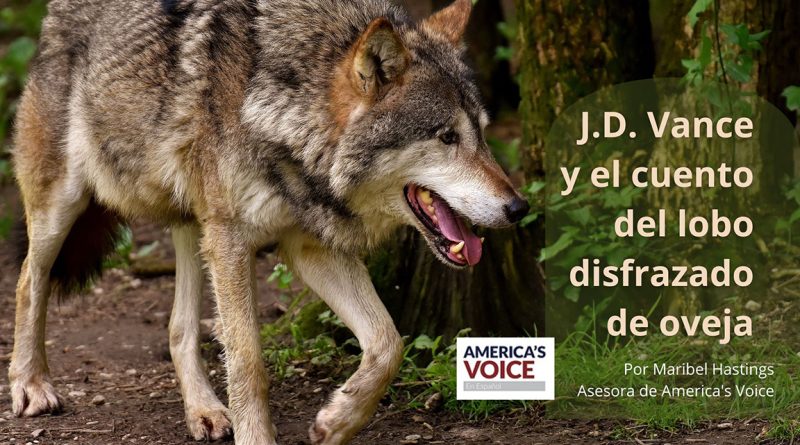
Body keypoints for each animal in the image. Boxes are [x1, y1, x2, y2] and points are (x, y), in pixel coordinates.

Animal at [8, 0, 530, 443]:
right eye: (446, 137)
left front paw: (337, 421)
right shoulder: (234, 240)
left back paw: (204, 411)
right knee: (28, 280)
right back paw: (31, 385)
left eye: (482, 134)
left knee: (179, 328)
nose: (518, 208)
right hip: (65, 204)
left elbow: (388, 343)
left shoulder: (307, 247)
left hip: (194, 225)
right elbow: (248, 362)